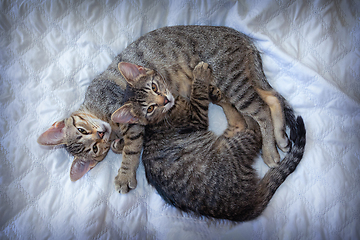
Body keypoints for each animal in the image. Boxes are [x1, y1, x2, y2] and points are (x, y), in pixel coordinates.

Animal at [111, 61, 306, 220]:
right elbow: (198, 96)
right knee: (251, 126)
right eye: (150, 109)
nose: (165, 100)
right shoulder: (196, 118)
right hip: (232, 147)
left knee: (246, 117)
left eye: (154, 87)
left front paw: (208, 88)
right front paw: (200, 77)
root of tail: (244, 207)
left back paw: (218, 96)